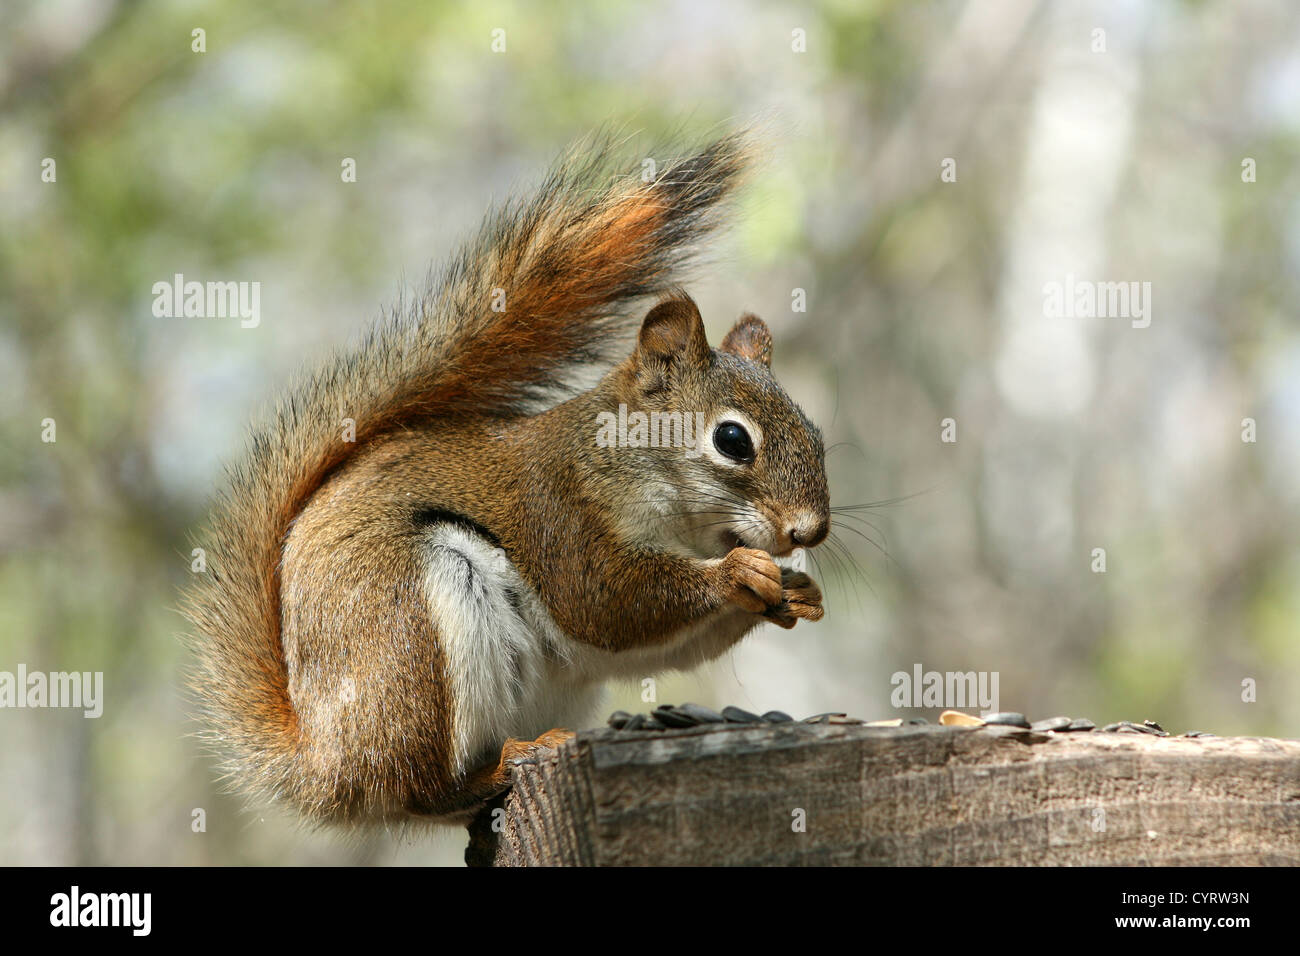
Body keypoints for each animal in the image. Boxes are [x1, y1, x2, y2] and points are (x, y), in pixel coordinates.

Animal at [183, 130, 831, 828]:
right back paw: (499, 765)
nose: (809, 532)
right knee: (422, 790)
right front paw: (738, 573)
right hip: (412, 629)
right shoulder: (560, 511)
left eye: (817, 435)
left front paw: (797, 593)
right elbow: (608, 602)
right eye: (732, 441)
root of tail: (326, 765)